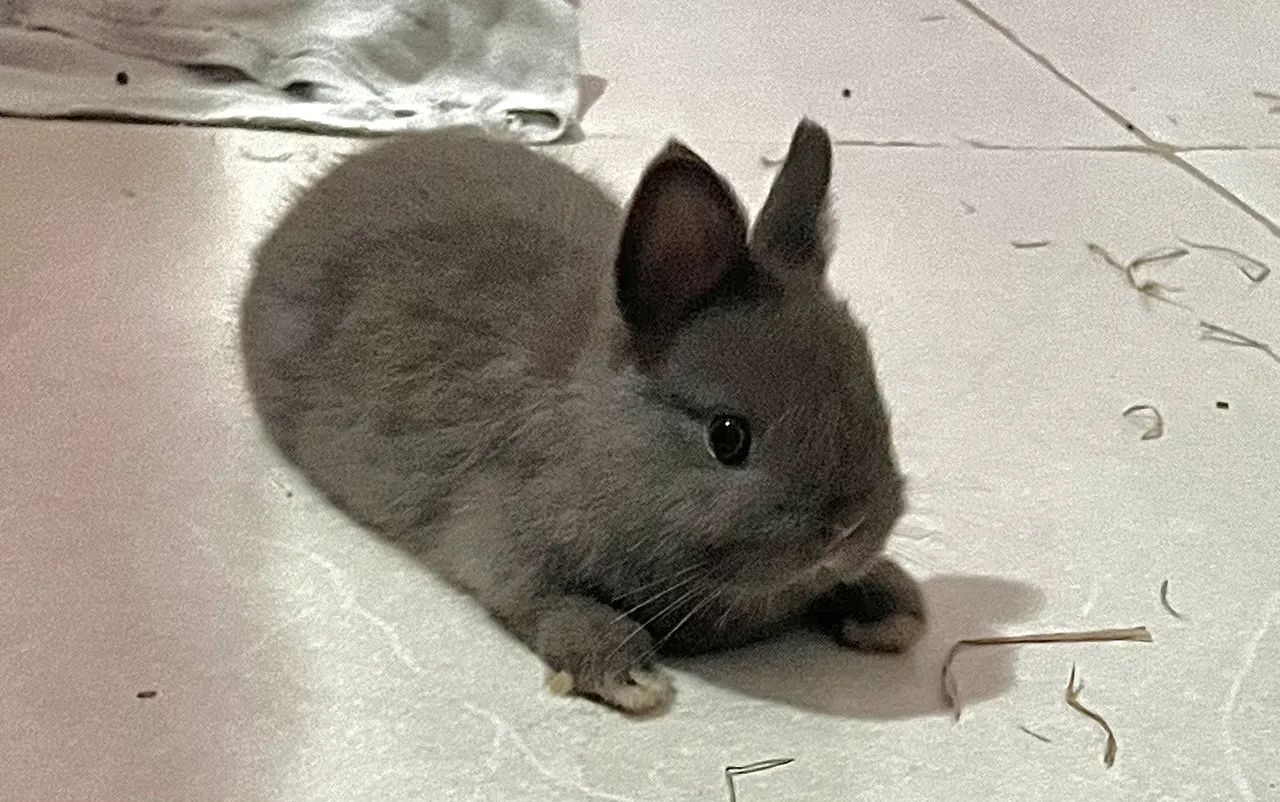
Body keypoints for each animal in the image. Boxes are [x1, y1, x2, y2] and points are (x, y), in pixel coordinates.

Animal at [240, 119, 924, 714]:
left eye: (870, 394)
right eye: (728, 437)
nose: (849, 531)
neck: (598, 434)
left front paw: (894, 608)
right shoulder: (503, 547)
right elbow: (549, 606)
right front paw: (631, 675)